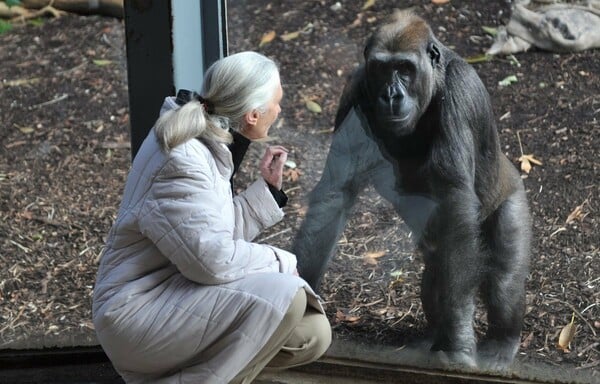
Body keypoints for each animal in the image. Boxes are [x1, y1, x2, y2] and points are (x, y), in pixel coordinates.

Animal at [292, 11, 532, 368]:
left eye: (405, 68)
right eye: (382, 69)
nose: (392, 95)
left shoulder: (459, 90)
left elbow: (455, 203)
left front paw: (458, 342)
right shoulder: (355, 88)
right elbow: (335, 192)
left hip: (512, 196)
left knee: (503, 276)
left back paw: (502, 340)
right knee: (436, 275)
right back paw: (431, 337)